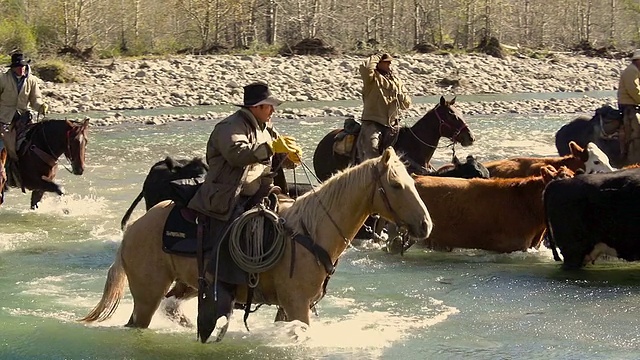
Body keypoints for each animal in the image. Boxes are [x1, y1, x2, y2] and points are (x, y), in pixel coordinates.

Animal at [79, 148, 430, 338]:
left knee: (172, 306)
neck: (311, 230)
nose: (425, 225)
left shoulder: (290, 307)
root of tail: (133, 230)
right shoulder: (297, 304)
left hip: (187, 284)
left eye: (412, 181)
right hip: (147, 293)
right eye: (396, 185)